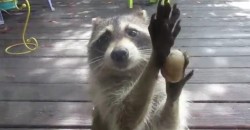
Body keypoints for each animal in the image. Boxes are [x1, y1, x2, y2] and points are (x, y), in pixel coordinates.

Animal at [87, 0, 194, 129]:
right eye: (104, 38)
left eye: (132, 32)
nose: (119, 53)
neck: (131, 72)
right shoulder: (105, 95)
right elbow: (124, 117)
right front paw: (155, 56)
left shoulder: (160, 91)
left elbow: (164, 124)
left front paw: (173, 90)